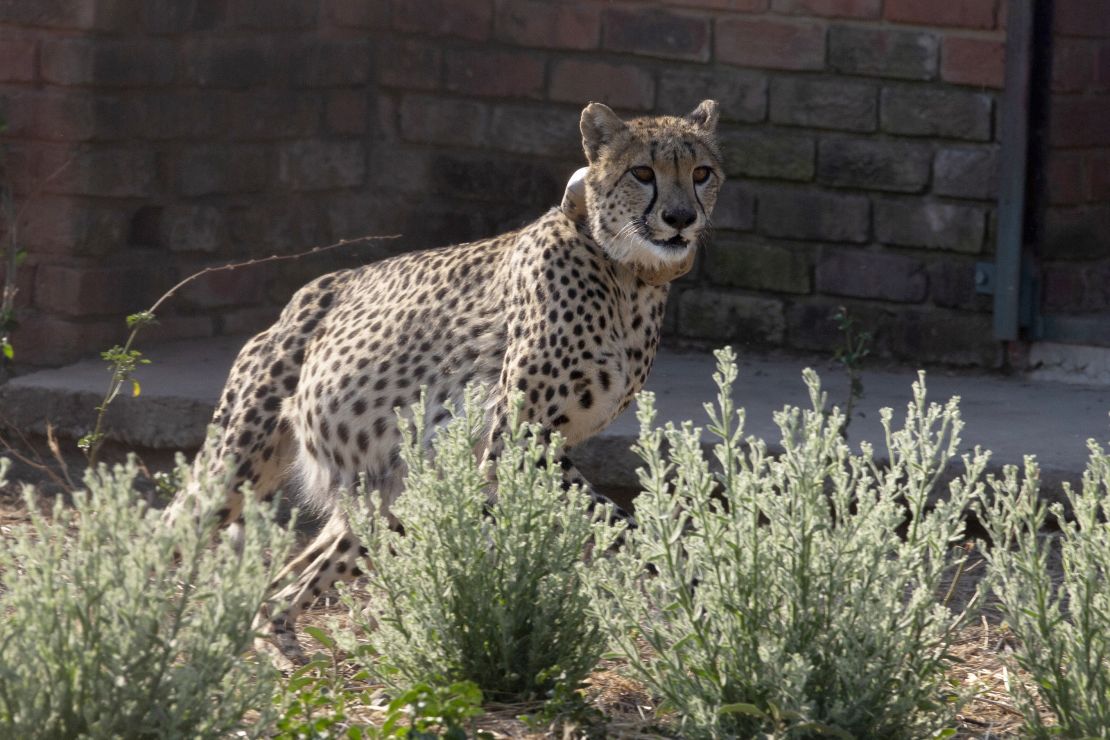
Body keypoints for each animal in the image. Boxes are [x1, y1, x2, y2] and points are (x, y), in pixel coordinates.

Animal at [162, 97, 719, 661]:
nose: (680, 218)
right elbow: (614, 517)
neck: (628, 275)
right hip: (234, 469)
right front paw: (688, 578)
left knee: (291, 580)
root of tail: (294, 304)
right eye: (643, 172)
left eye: (701, 173)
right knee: (168, 530)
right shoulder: (517, 444)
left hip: (391, 492)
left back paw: (276, 644)